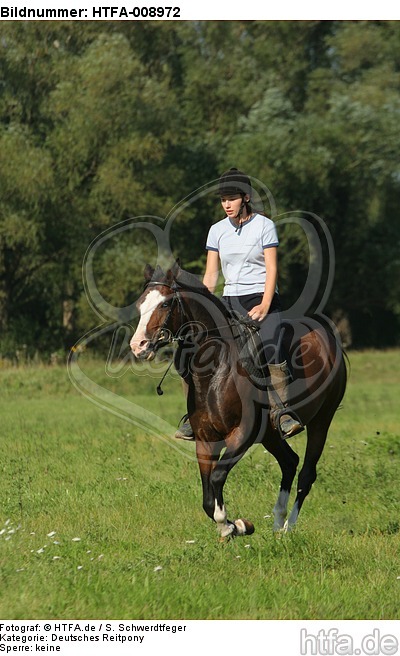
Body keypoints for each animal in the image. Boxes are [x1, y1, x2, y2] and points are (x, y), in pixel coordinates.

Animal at [130, 262, 347, 538]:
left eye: (166, 304)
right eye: (140, 304)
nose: (138, 346)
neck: (217, 371)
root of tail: (328, 337)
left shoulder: (242, 435)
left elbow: (217, 477)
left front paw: (235, 525)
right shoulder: (205, 440)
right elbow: (207, 498)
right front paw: (231, 527)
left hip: (322, 420)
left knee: (307, 474)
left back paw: (288, 528)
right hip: (271, 435)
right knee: (289, 463)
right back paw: (277, 521)